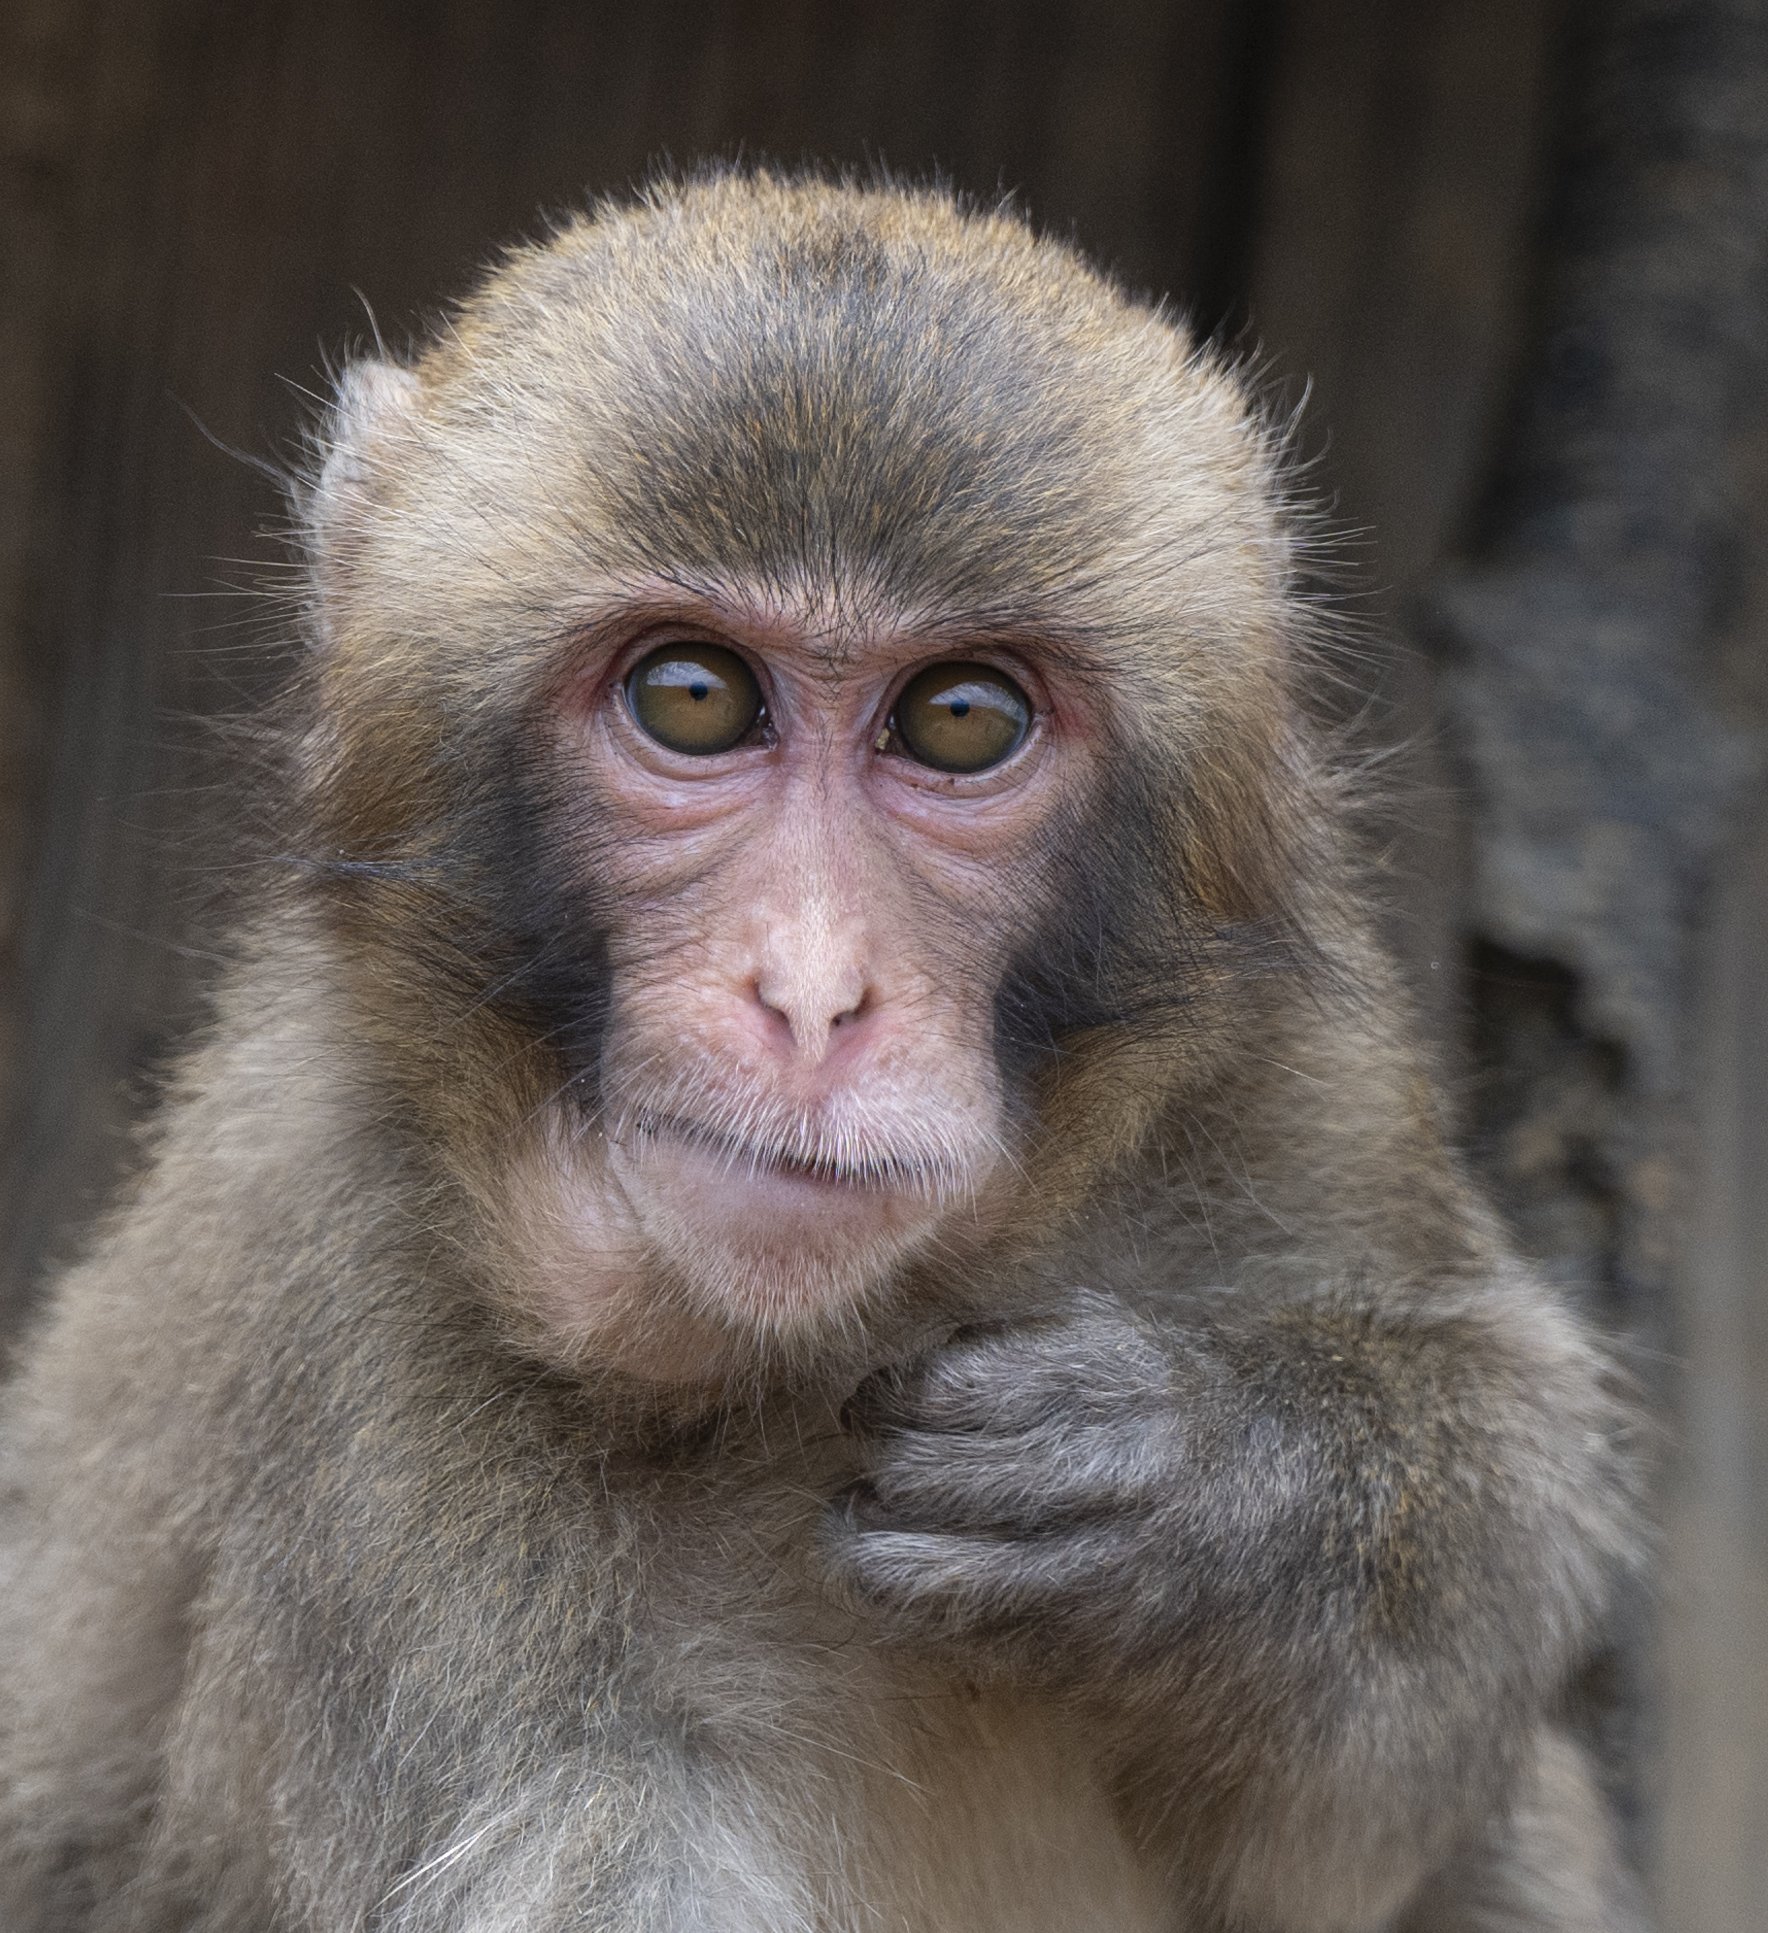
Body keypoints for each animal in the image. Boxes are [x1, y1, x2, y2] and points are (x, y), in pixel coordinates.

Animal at [0, 172, 1645, 1933]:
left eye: (960, 720)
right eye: (694, 697)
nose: (809, 993)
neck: (784, 1363)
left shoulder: (1302, 1073)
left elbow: (1419, 1713)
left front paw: (1202, 1495)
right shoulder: (366, 1337)